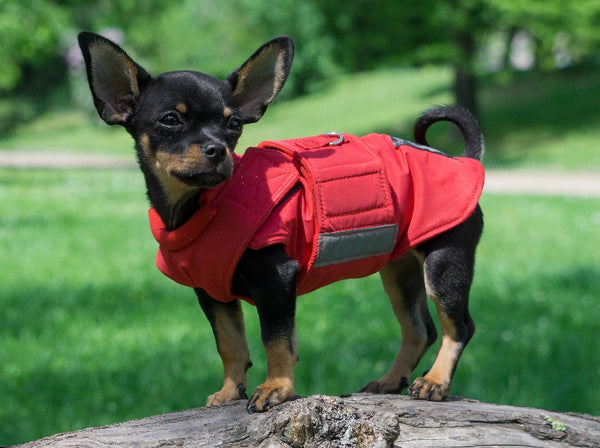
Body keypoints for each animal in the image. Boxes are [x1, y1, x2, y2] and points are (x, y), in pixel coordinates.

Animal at [78, 31, 482, 412]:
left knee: (458, 326)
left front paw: (277, 389)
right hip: (400, 272)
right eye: (171, 120)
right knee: (419, 329)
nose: (217, 150)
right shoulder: (212, 292)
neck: (204, 205)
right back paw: (390, 380)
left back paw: (435, 381)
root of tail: (465, 160)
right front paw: (230, 392)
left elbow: (276, 340)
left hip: (444, 264)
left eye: (233, 124)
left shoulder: (276, 281)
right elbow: (231, 344)